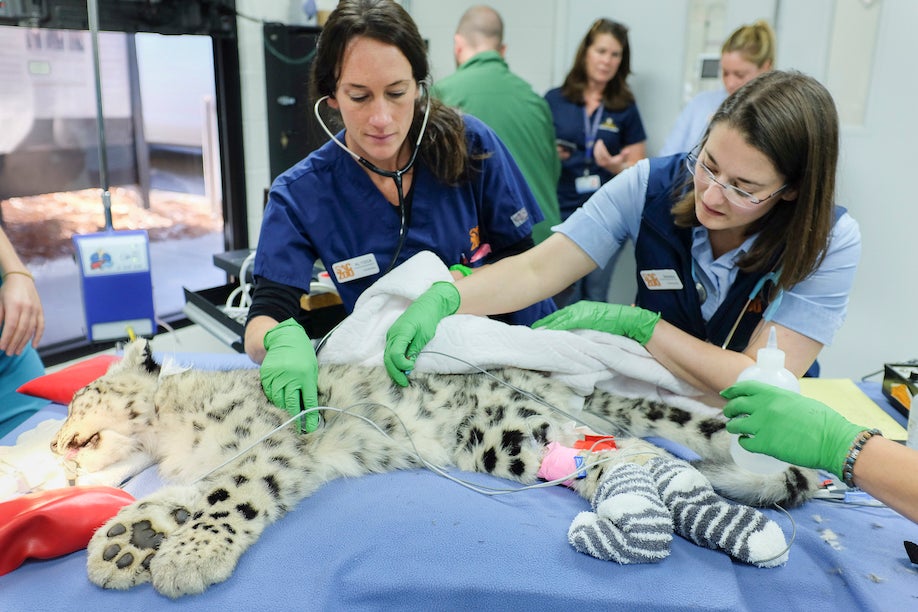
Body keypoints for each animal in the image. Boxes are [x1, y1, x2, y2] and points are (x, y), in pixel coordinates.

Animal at [52, 339, 819, 598]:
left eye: (78, 401)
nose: (56, 448)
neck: (171, 436)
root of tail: (549, 382)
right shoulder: (224, 463)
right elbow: (184, 495)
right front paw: (126, 543)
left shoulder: (269, 446)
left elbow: (226, 495)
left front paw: (185, 557)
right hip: (529, 440)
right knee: (627, 447)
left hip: (511, 433)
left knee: (641, 453)